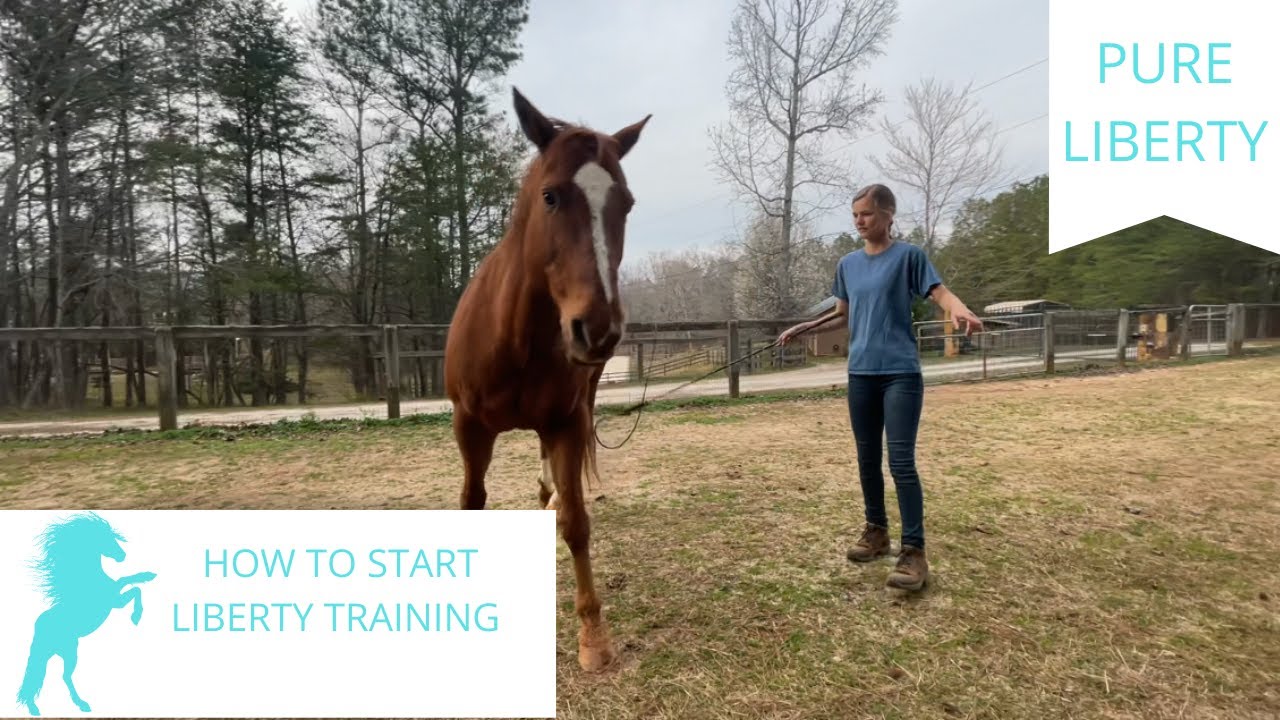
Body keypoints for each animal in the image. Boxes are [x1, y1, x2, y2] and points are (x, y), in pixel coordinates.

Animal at [16, 512, 156, 716]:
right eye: (105, 539)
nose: (122, 555)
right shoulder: (114, 602)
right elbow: (133, 587)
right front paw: (136, 616)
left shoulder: (115, 598)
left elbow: (128, 581)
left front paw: (148, 575)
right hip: (69, 651)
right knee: (62, 676)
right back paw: (81, 704)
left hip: (50, 652)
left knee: (38, 674)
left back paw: (35, 708)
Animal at [443, 87, 650, 673]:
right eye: (551, 197)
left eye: (625, 204)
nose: (597, 328)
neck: (515, 336)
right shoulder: (469, 428)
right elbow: (473, 502)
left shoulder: (566, 422)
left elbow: (577, 522)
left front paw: (594, 638)